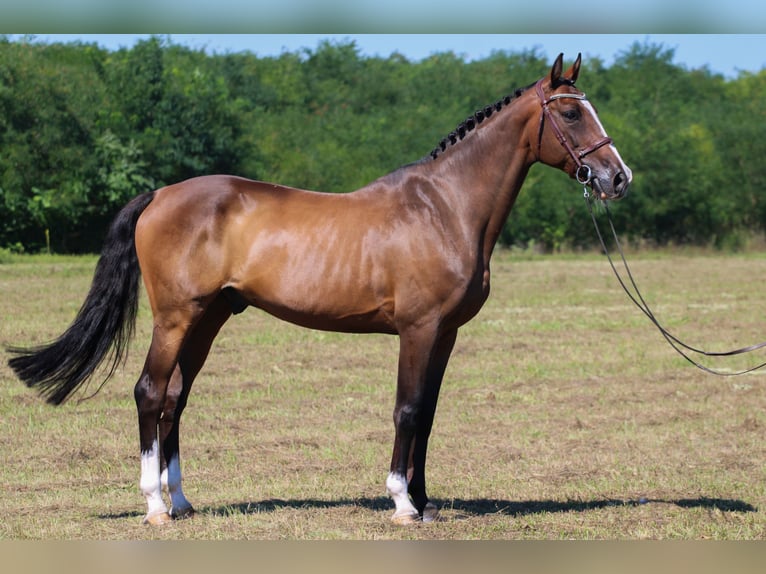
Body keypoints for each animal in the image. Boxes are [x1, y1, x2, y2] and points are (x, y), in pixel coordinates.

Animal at [9, 54, 632, 528]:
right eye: (571, 111)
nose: (617, 178)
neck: (445, 207)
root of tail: (161, 194)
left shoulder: (446, 335)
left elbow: (428, 414)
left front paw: (425, 502)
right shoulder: (418, 329)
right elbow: (407, 409)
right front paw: (402, 502)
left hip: (208, 319)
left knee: (175, 398)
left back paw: (181, 500)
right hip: (175, 317)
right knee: (148, 392)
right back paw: (155, 507)